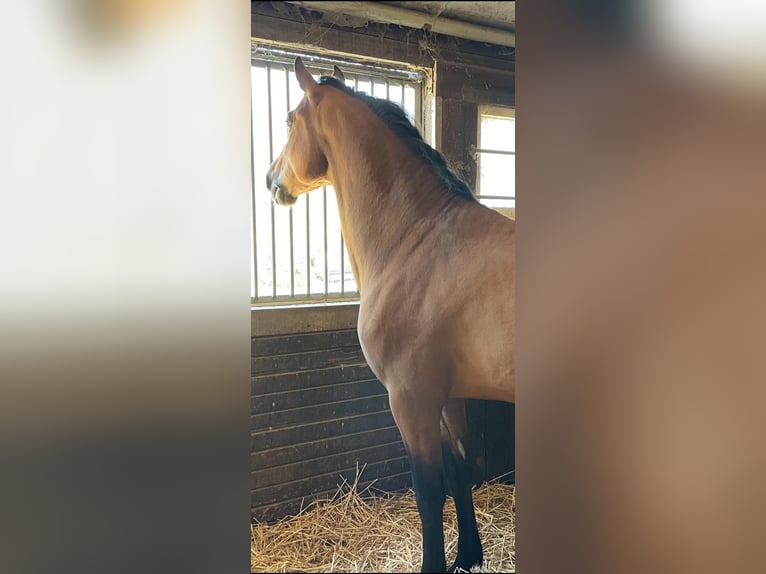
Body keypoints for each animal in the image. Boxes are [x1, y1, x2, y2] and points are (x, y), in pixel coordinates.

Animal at [266, 56, 516, 572]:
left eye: (289, 121)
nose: (270, 179)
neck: (415, 239)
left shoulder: (410, 400)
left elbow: (428, 493)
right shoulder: (448, 397)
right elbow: (460, 470)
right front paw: (468, 555)